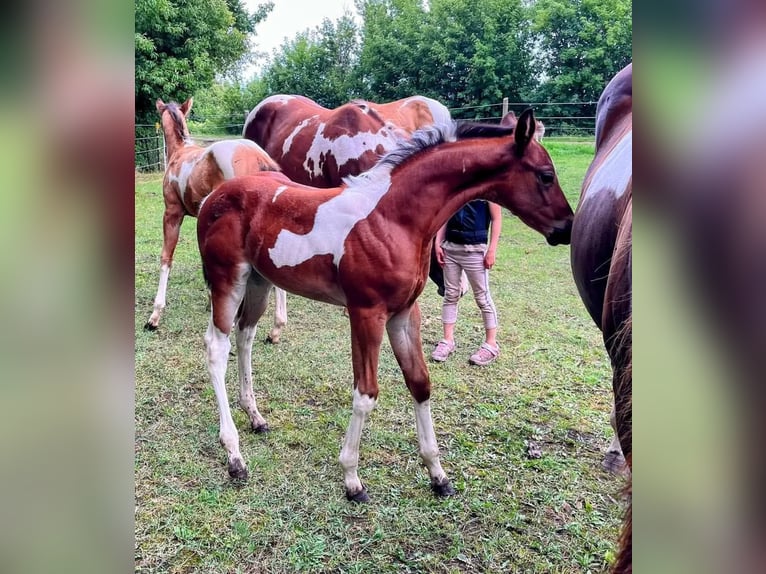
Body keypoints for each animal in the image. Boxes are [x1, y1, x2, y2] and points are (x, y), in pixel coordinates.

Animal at [146, 98, 290, 342]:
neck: (180, 153)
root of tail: (259, 158)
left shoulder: (172, 214)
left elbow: (166, 258)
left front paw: (154, 316)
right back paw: (275, 330)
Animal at [198, 110, 576, 502]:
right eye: (545, 175)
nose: (567, 228)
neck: (393, 218)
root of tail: (213, 197)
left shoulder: (405, 313)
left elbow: (420, 383)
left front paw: (438, 475)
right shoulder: (367, 313)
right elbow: (366, 393)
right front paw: (351, 478)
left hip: (259, 282)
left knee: (245, 336)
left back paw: (255, 416)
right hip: (229, 281)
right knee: (217, 347)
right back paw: (234, 456)